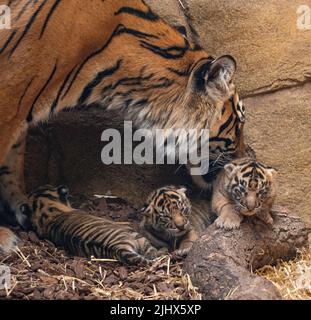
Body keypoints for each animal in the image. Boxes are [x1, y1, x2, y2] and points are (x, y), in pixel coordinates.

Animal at [0, 0, 238, 252]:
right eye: (239, 120)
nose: (240, 159)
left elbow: (12, 163)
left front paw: (22, 206)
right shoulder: (10, 95)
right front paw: (4, 236)